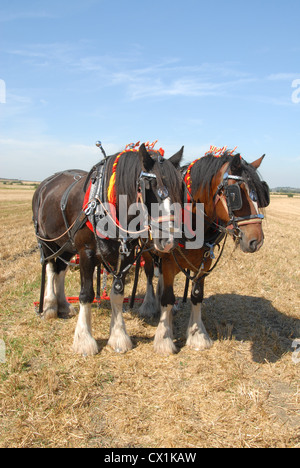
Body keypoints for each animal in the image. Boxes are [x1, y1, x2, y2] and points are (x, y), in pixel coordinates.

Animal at [32, 143, 183, 354]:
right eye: (149, 187)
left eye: (179, 188)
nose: (168, 240)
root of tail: (45, 184)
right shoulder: (86, 253)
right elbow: (86, 294)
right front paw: (84, 340)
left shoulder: (125, 254)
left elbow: (117, 294)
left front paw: (119, 336)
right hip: (47, 241)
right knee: (50, 268)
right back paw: (50, 306)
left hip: (67, 245)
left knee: (60, 270)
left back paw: (63, 305)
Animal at [139, 150, 270, 354]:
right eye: (236, 194)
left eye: (260, 194)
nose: (256, 241)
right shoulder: (168, 261)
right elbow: (167, 297)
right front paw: (164, 339)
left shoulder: (204, 262)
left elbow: (196, 296)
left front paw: (198, 335)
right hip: (146, 251)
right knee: (149, 274)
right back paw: (149, 305)